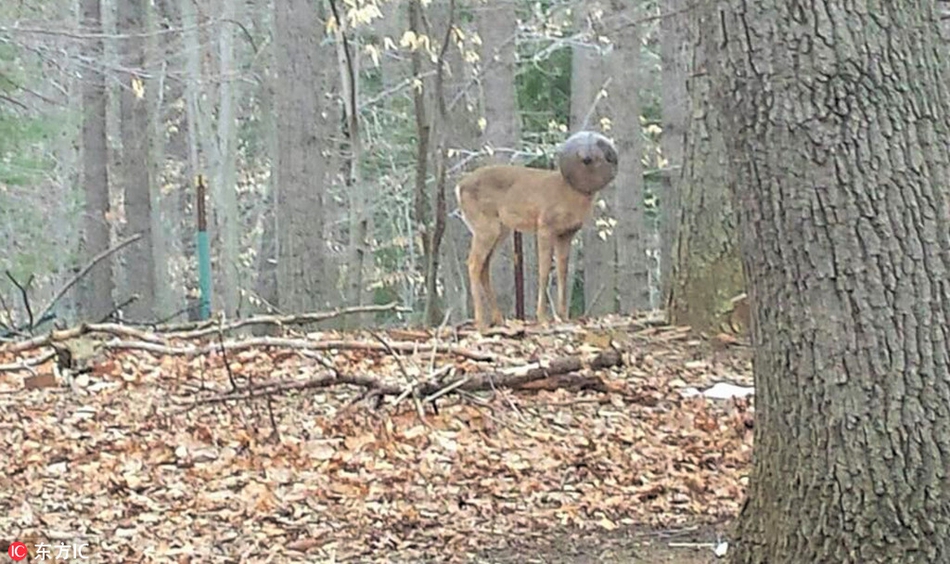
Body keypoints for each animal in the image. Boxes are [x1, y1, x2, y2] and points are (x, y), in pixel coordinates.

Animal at [458, 129, 620, 328]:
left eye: (599, 152)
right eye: (586, 156)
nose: (586, 156)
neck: (570, 195)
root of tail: (459, 187)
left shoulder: (566, 234)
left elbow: (562, 271)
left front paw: (563, 316)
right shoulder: (545, 226)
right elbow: (544, 270)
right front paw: (542, 317)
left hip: (501, 230)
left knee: (484, 266)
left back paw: (498, 319)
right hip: (485, 227)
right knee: (473, 263)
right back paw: (481, 321)